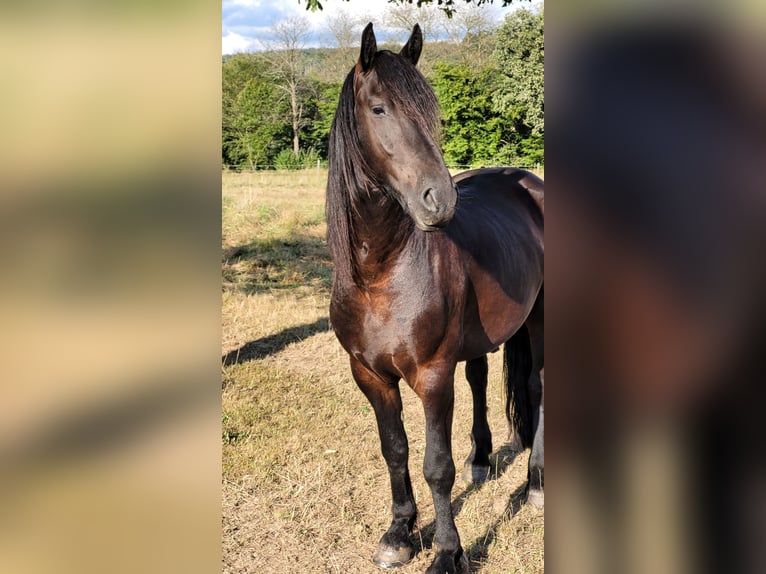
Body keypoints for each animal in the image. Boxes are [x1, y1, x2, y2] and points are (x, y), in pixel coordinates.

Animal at [326, 23, 544, 574]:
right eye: (379, 109)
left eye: (431, 111)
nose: (439, 200)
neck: (381, 275)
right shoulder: (370, 375)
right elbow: (395, 450)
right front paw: (400, 533)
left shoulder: (431, 375)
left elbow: (436, 466)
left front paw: (448, 552)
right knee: (481, 378)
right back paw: (482, 460)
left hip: (541, 319)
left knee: (537, 387)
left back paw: (535, 483)